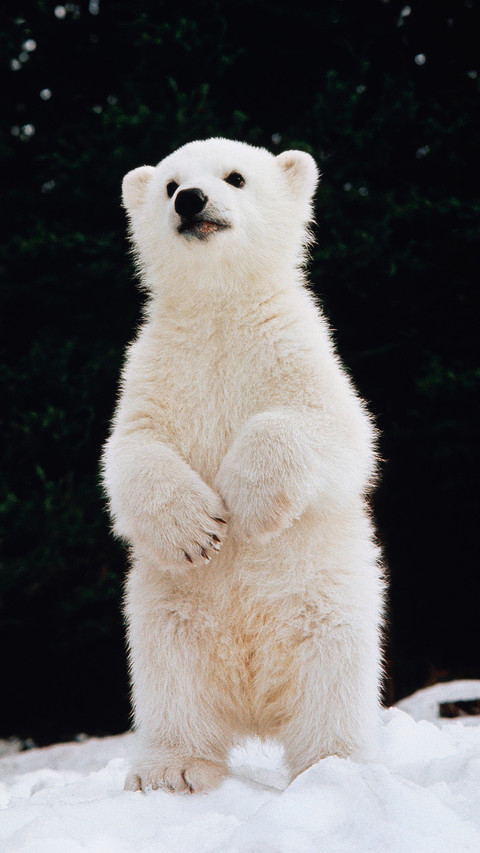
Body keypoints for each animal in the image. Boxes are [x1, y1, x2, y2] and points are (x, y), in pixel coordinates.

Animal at [101, 137, 385, 794]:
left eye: (235, 176)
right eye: (170, 182)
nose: (190, 200)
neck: (220, 311)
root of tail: (256, 708)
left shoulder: (296, 353)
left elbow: (337, 432)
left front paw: (247, 503)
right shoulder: (156, 370)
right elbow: (131, 453)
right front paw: (198, 531)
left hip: (330, 608)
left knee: (333, 685)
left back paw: (332, 769)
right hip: (166, 619)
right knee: (173, 686)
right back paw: (172, 770)